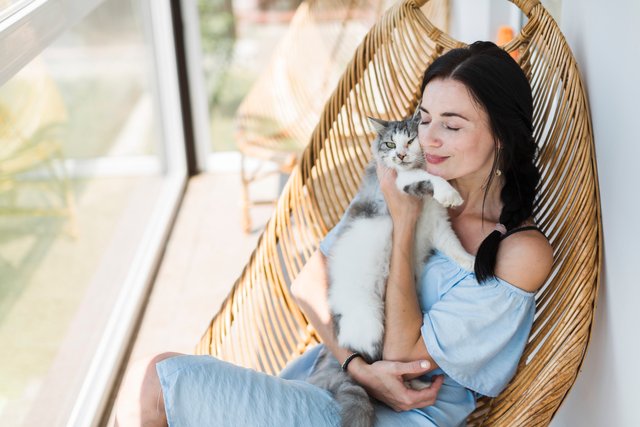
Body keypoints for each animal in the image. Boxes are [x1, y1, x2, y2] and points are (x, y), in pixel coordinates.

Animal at [304, 109, 476, 427]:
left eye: (411, 139)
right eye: (389, 144)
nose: (400, 155)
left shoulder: (439, 227)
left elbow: (456, 249)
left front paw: (474, 262)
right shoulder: (400, 182)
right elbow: (426, 176)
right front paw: (449, 192)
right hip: (372, 323)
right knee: (377, 367)